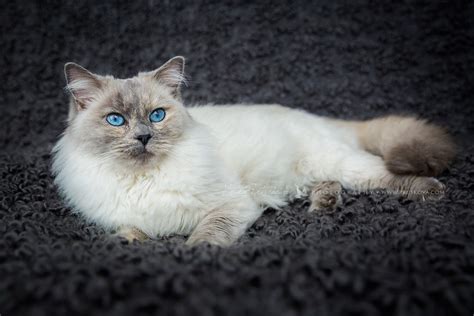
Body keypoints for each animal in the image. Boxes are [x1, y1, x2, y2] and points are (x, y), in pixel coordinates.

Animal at [51, 55, 456, 246]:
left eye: (157, 115)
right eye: (115, 120)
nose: (144, 138)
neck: (143, 178)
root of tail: (314, 116)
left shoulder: (231, 206)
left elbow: (207, 234)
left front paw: (193, 253)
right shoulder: (124, 216)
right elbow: (130, 230)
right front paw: (129, 242)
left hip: (344, 165)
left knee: (385, 175)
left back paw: (433, 191)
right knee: (324, 184)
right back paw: (323, 205)